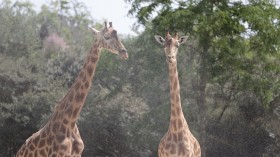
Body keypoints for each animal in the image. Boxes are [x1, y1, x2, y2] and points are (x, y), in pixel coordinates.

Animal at [15, 21, 127, 157]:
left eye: (118, 36)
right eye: (106, 37)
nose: (124, 52)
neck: (70, 120)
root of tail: (19, 151)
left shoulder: (77, 154)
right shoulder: (56, 154)